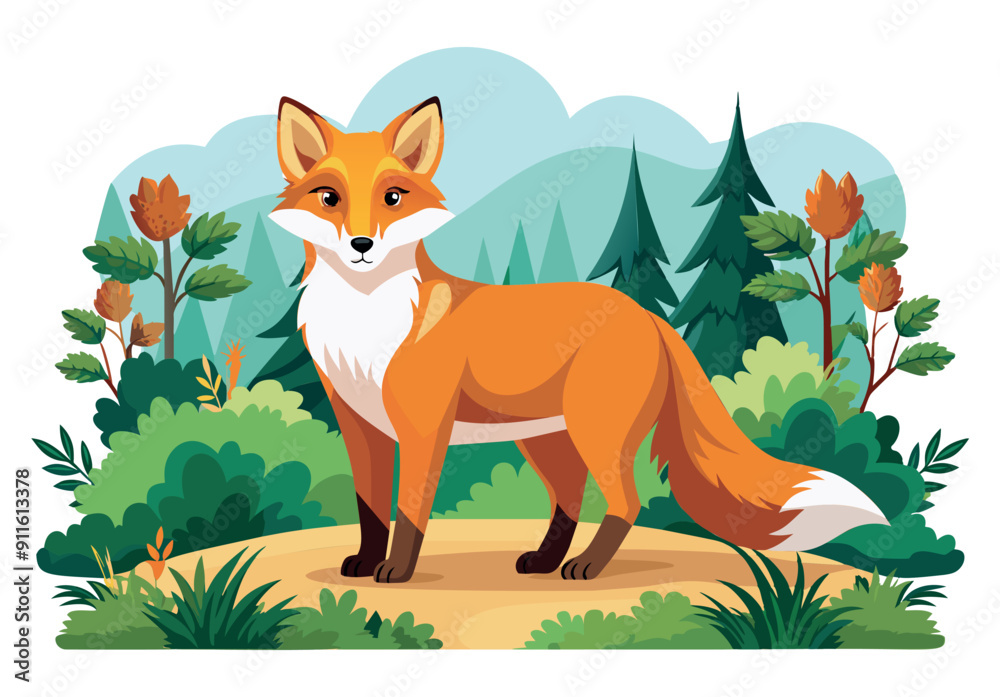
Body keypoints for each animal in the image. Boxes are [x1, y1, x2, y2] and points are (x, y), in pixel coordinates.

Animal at [268, 96, 889, 584]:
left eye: (393, 197)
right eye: (329, 198)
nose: (362, 245)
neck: (364, 322)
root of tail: (647, 317)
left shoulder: (423, 426)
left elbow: (410, 511)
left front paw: (396, 571)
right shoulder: (359, 423)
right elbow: (370, 508)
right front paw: (364, 563)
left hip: (596, 431)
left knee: (624, 503)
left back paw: (586, 566)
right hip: (548, 438)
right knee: (569, 500)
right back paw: (544, 562)